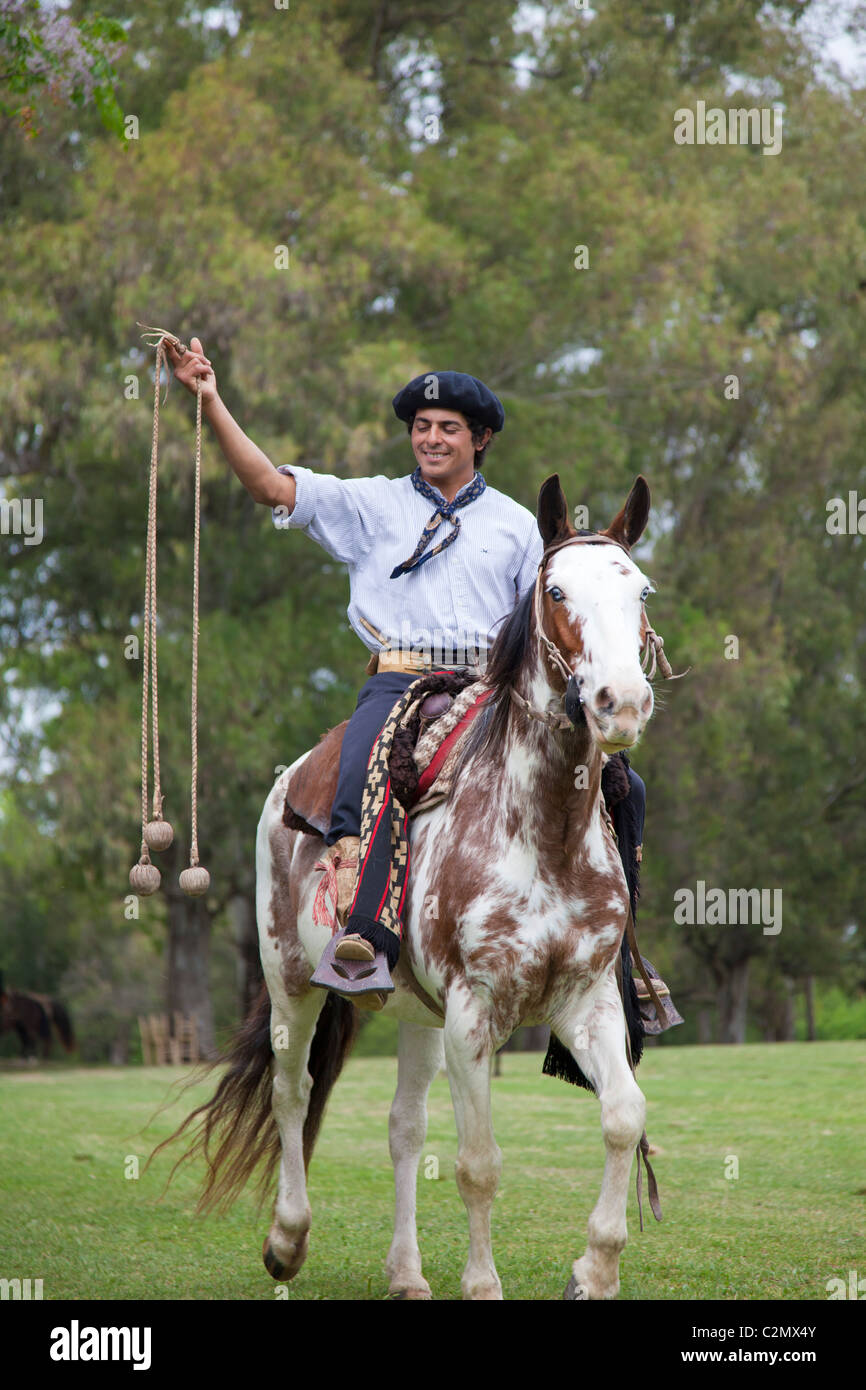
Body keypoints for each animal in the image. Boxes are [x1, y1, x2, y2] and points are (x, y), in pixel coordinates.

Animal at [174, 475, 664, 1301]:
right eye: (556, 591)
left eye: (641, 591)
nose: (620, 702)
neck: (546, 835)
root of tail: (288, 782)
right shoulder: (474, 1012)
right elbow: (479, 1163)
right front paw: (484, 1285)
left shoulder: (585, 1000)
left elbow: (623, 1116)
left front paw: (594, 1270)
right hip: (289, 981)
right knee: (291, 1094)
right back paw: (287, 1240)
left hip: (416, 1015)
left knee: (404, 1128)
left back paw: (405, 1273)